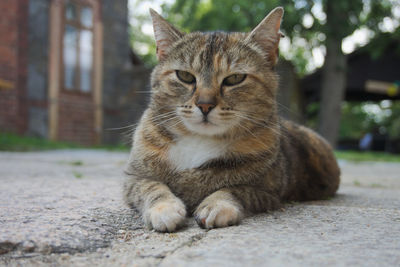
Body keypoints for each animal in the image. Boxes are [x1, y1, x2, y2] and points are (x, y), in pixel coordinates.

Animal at [123, 6, 340, 232]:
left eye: (235, 78)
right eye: (185, 76)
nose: (205, 105)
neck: (199, 141)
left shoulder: (266, 191)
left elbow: (233, 189)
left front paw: (217, 205)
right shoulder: (133, 177)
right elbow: (151, 187)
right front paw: (164, 208)